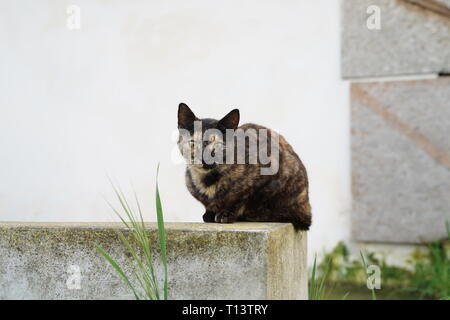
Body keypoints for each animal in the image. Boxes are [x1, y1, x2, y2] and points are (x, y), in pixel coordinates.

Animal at [178, 102, 312, 230]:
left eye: (218, 145)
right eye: (193, 143)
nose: (204, 159)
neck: (208, 180)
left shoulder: (268, 176)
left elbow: (243, 199)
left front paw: (226, 214)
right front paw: (209, 214)